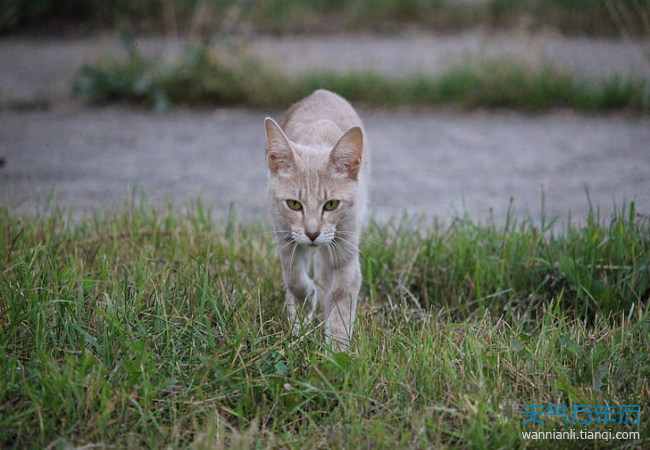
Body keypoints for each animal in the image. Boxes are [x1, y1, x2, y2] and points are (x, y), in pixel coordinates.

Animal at [260, 89, 368, 352]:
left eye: (331, 205)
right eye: (294, 204)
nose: (312, 234)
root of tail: (321, 92)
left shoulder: (346, 244)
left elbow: (342, 295)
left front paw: (337, 350)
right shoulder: (284, 237)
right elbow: (295, 280)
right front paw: (302, 311)